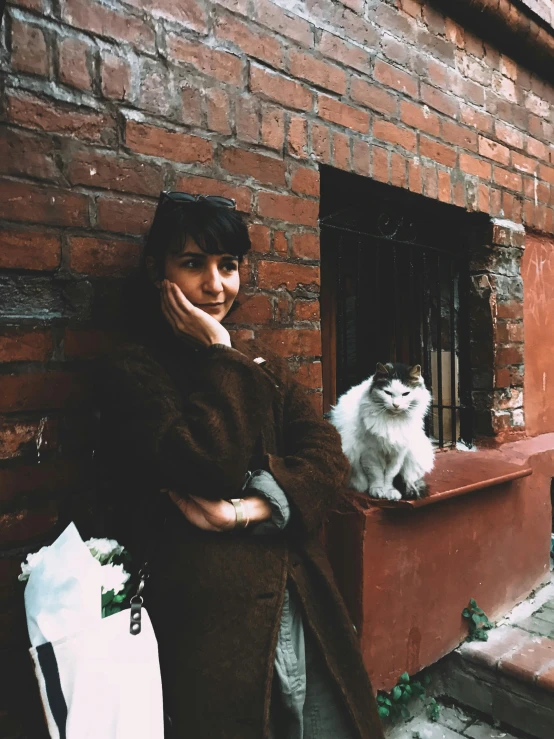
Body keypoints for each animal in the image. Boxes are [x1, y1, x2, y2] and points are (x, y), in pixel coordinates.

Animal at [328, 362, 432, 500]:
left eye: (405, 394)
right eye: (387, 393)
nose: (396, 405)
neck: (392, 421)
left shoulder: (398, 453)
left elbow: (390, 475)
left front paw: (389, 491)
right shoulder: (370, 452)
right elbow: (376, 474)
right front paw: (377, 490)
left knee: (409, 478)